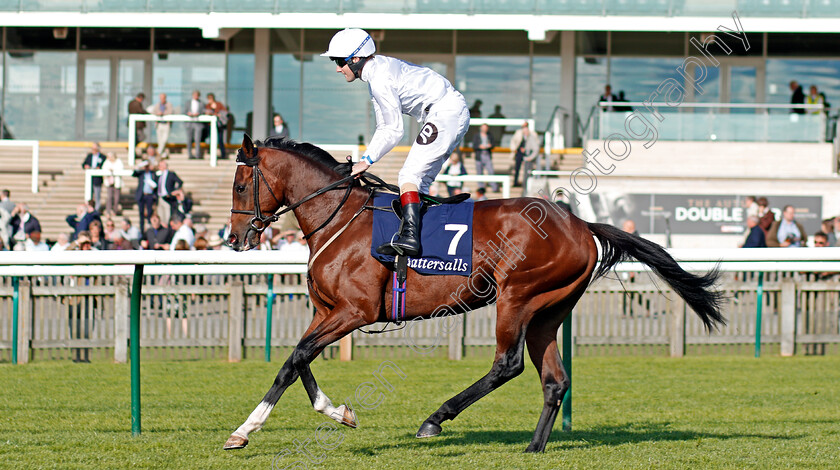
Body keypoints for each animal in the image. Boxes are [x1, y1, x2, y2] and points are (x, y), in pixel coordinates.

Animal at [223, 134, 720, 454]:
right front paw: (337, 411)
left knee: (507, 364)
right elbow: (299, 359)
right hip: (548, 311)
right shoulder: (326, 310)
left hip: (517, 295)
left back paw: (435, 419)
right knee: (554, 379)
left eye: (241, 185)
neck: (340, 218)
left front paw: (244, 430)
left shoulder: (353, 311)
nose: (234, 238)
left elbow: (295, 359)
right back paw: (533, 448)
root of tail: (580, 223)